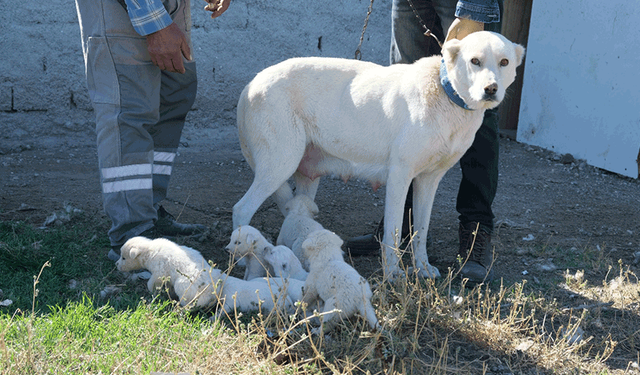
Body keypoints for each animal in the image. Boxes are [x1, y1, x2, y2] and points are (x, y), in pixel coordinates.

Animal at [232, 31, 524, 280]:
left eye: (504, 62)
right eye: (475, 61)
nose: (491, 89)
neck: (445, 92)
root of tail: (251, 83)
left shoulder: (428, 181)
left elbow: (420, 231)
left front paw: (423, 268)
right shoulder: (399, 177)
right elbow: (393, 232)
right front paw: (393, 275)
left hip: (307, 176)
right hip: (280, 163)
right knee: (241, 208)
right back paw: (242, 262)